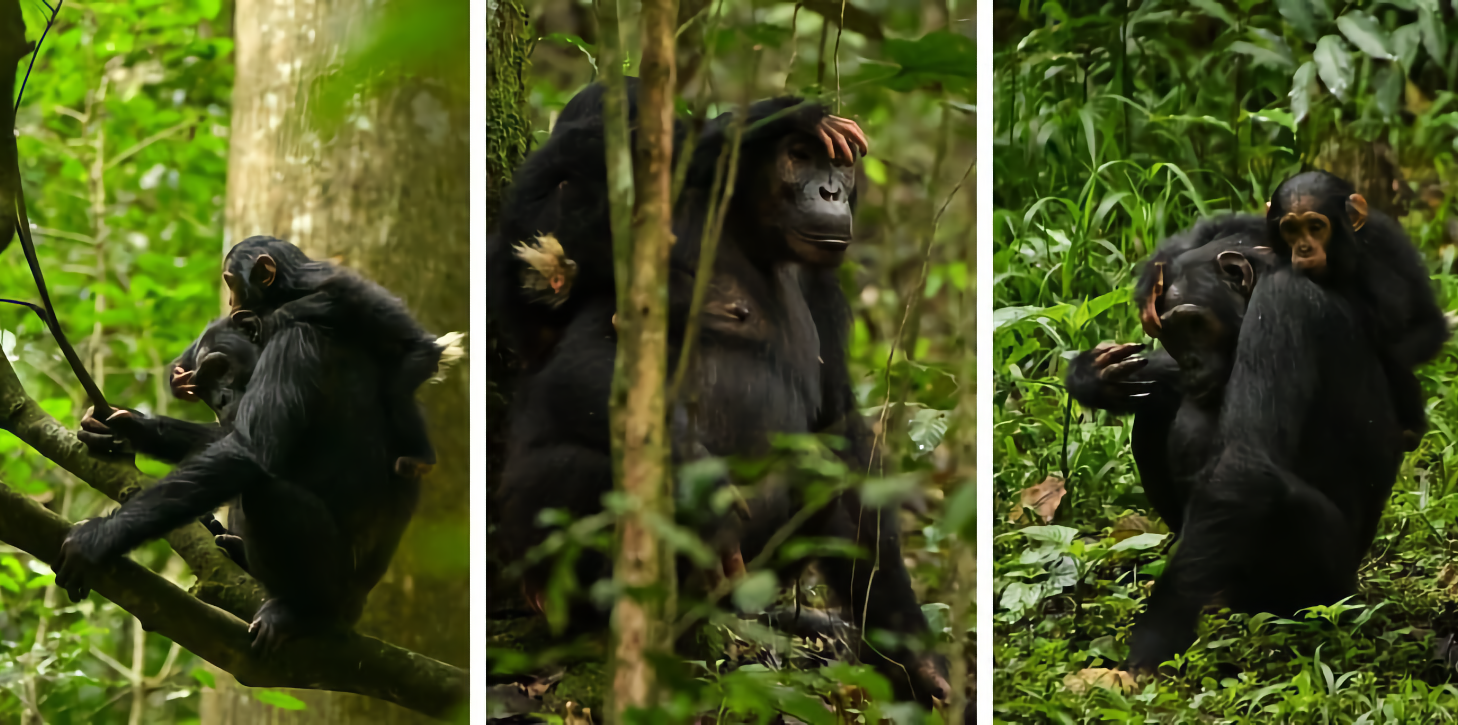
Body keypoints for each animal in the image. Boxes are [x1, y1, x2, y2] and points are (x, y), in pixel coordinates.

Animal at [54, 294, 419, 650]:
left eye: (219, 367)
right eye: (200, 386)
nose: (221, 398)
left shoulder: (293, 348)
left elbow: (248, 451)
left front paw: (97, 538)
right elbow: (228, 437)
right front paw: (126, 428)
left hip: (340, 588)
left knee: (266, 493)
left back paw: (302, 612)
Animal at [489, 83, 944, 700]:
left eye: (839, 167)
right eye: (799, 156)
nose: (829, 190)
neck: (746, 231)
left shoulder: (823, 285)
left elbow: (838, 434)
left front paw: (916, 661)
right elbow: (593, 352)